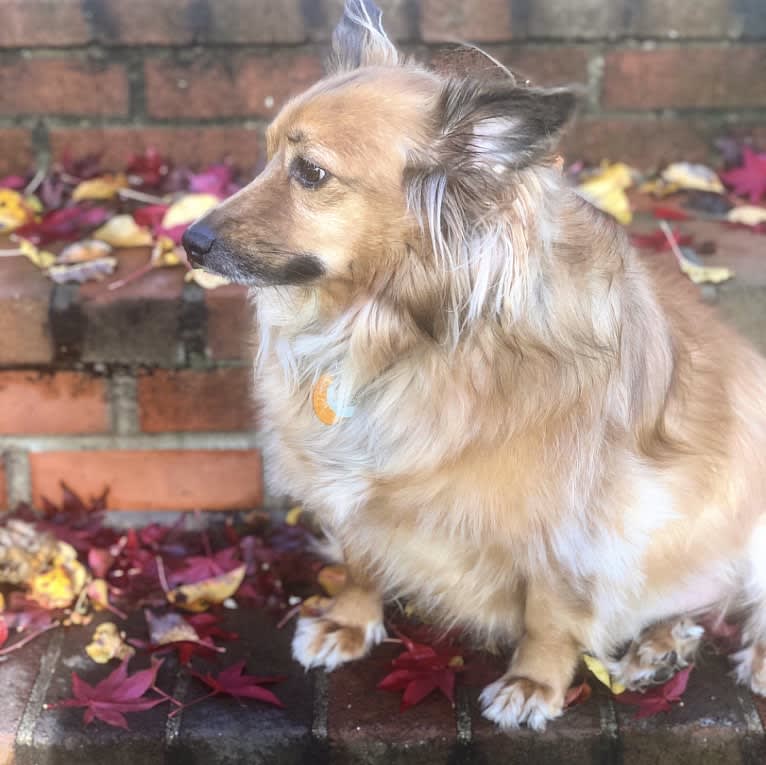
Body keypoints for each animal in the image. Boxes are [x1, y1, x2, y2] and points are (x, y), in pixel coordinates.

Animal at [184, 0, 766, 728]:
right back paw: (661, 646)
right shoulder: (355, 493)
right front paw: (349, 621)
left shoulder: (576, 521)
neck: (391, 337)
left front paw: (535, 681)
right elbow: (360, 558)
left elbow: (551, 610)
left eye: (310, 173)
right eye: (266, 158)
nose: (189, 240)